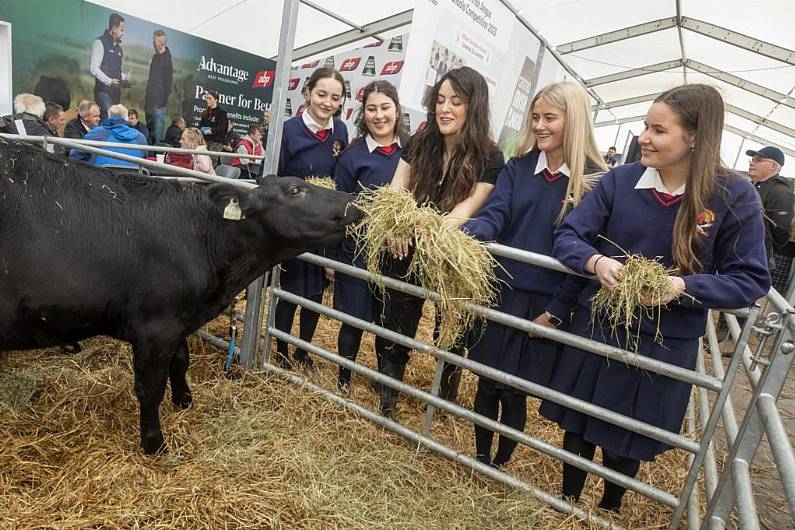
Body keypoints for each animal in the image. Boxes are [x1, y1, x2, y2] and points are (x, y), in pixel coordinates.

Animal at [0, 138, 360, 452]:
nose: (354, 203)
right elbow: (150, 387)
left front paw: (184, 400)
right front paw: (153, 443)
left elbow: (181, 360)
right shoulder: (155, 327)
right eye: (295, 190)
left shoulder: (178, 319)